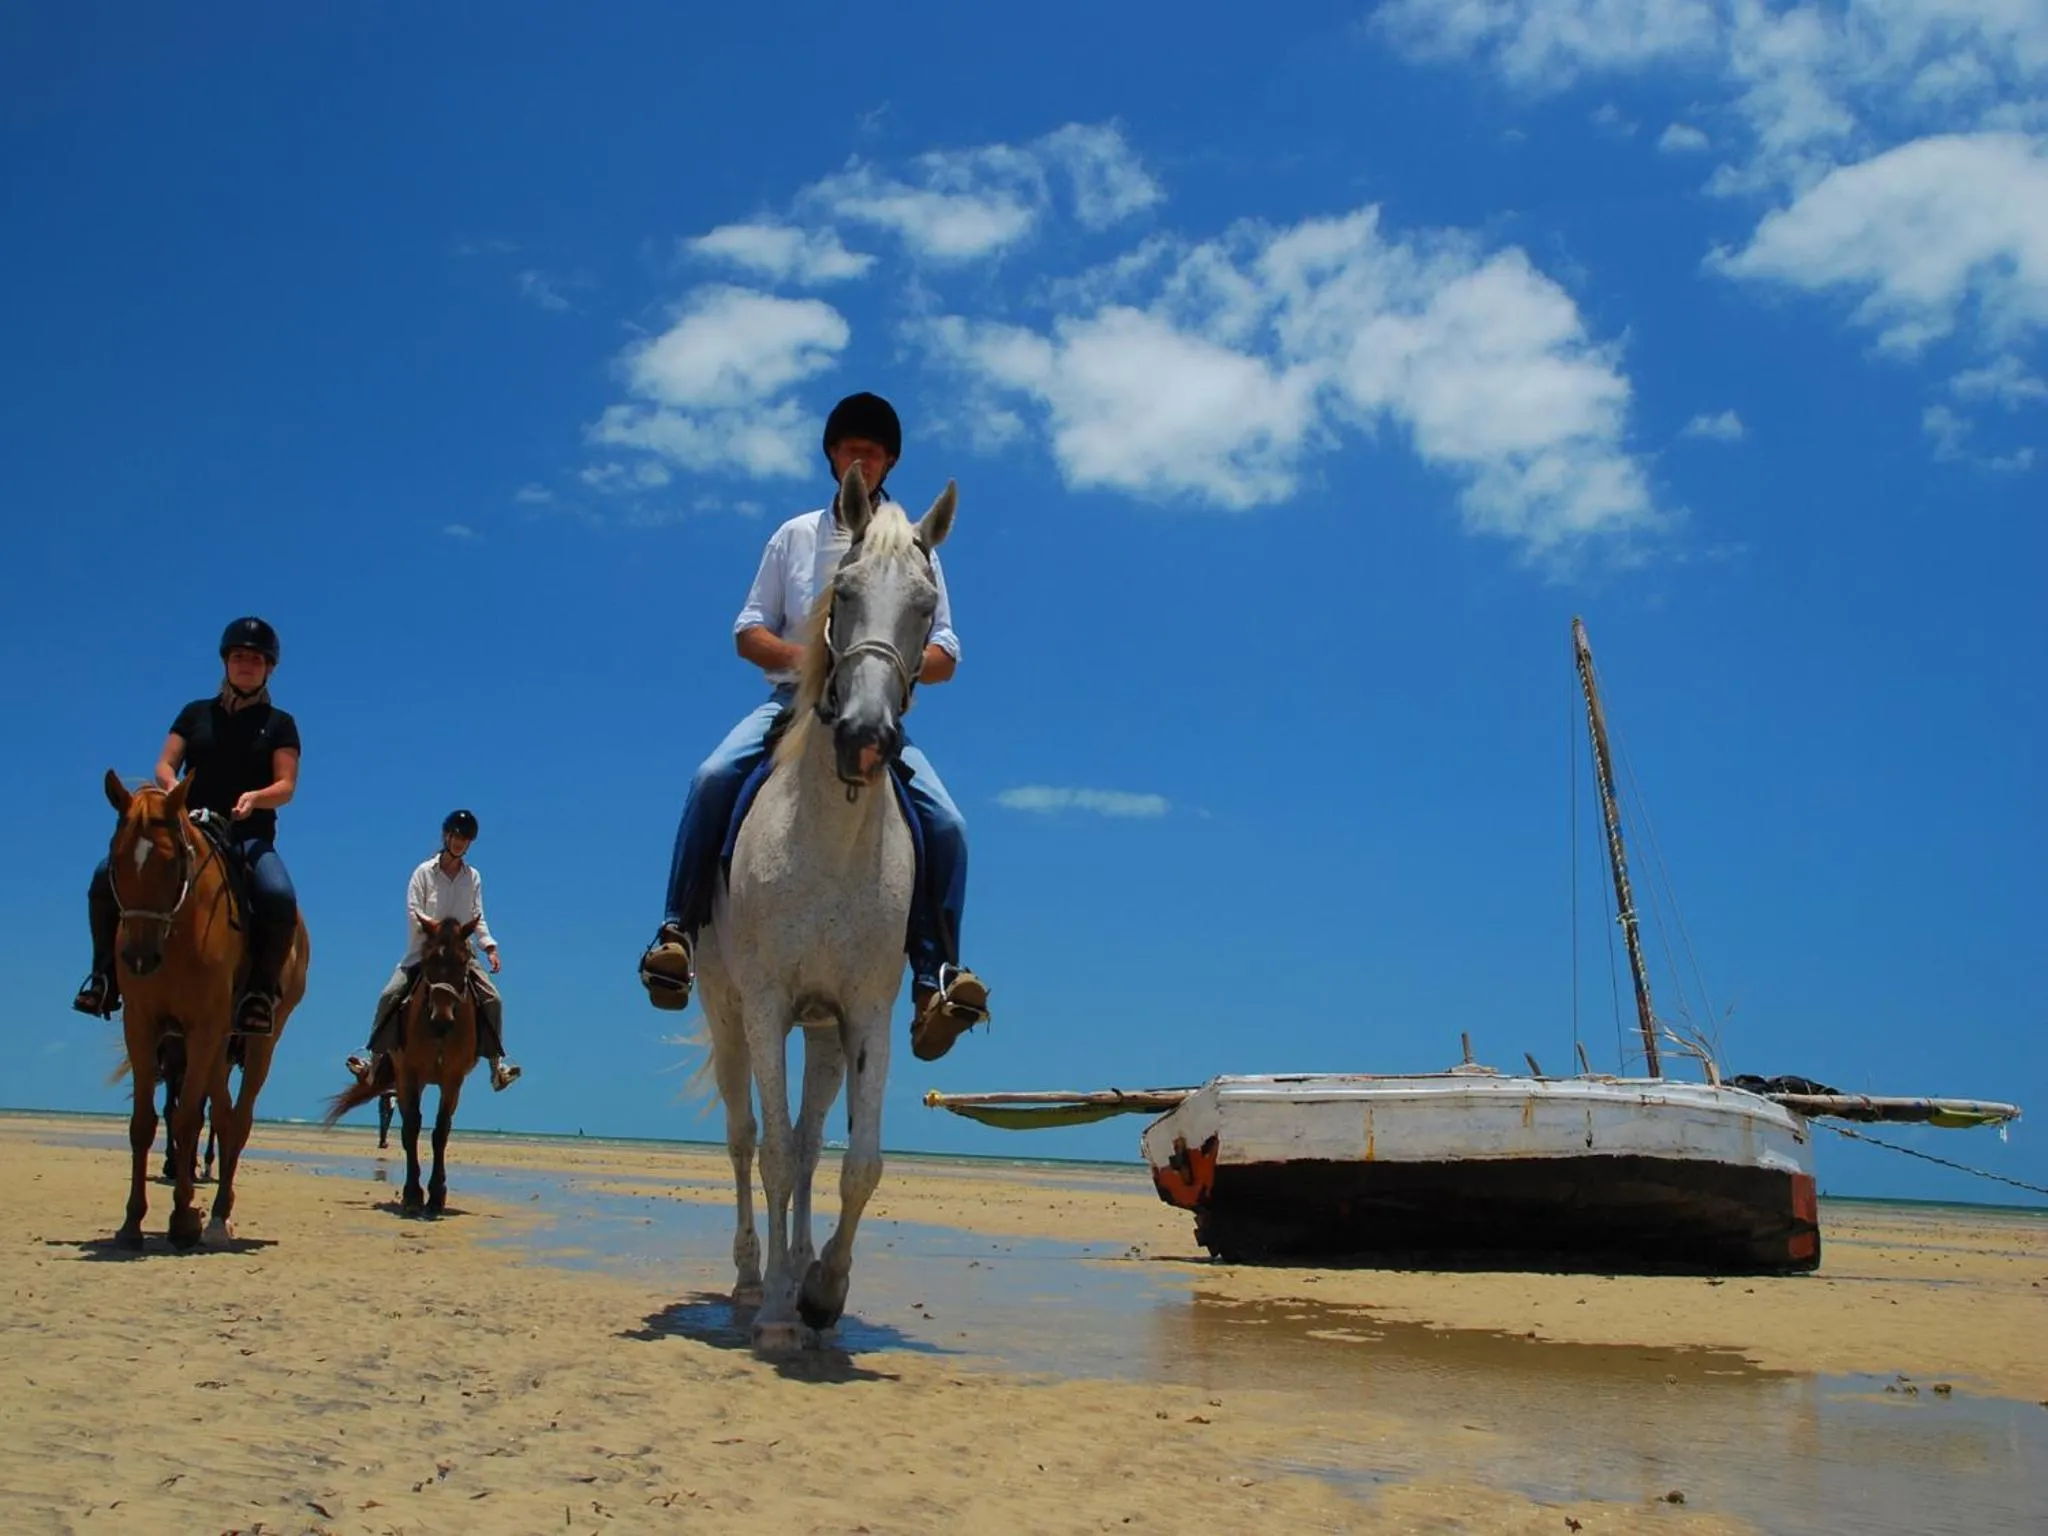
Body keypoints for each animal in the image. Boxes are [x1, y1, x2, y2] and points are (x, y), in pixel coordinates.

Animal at [100, 772, 309, 1249]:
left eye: (172, 861)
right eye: (116, 860)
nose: (138, 958)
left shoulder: (201, 1028)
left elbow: (186, 1120)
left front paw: (182, 1219)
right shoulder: (141, 1025)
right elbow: (145, 1123)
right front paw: (132, 1222)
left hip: (257, 1042)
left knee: (239, 1120)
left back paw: (216, 1218)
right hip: (216, 1048)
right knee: (224, 1116)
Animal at [324, 915, 480, 1216]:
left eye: (464, 959)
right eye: (428, 959)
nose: (441, 1020)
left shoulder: (453, 1078)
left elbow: (441, 1131)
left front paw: (436, 1196)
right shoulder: (408, 1074)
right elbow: (411, 1129)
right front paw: (412, 1195)